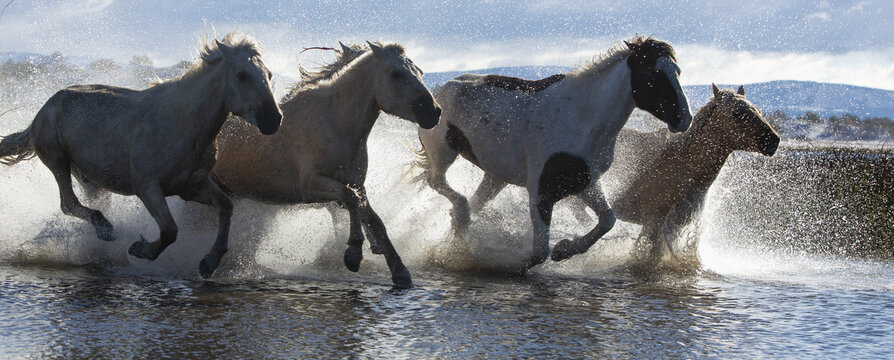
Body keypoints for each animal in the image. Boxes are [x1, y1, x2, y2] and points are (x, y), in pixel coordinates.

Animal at [0, 32, 282, 278]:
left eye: (268, 74)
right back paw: (106, 230)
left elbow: (226, 206)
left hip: (91, 180)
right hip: (57, 159)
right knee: (68, 203)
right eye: (241, 75)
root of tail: (41, 111)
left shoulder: (191, 186)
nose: (274, 119)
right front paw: (141, 250)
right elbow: (170, 230)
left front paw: (208, 263)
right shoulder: (147, 187)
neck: (183, 124)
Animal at [416, 37, 696, 270]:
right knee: (437, 182)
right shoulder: (541, 193)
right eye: (653, 73)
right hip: (444, 153)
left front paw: (565, 249)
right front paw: (510, 260)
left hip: (495, 177)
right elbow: (538, 253)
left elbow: (608, 219)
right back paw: (461, 219)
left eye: (677, 72)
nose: (684, 119)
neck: (584, 117)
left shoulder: (585, 182)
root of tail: (441, 89)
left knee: (470, 203)